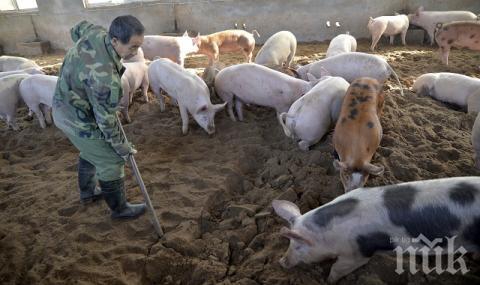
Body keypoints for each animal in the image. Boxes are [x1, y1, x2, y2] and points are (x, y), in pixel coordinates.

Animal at [272, 175, 480, 282]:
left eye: (298, 246)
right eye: (289, 243)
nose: (281, 262)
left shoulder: (357, 253)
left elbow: (339, 268)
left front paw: (328, 280)